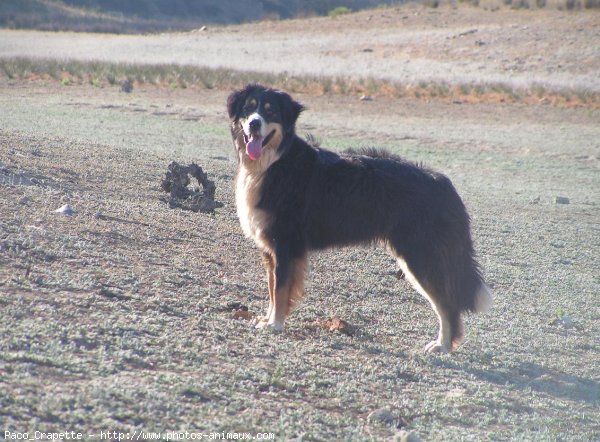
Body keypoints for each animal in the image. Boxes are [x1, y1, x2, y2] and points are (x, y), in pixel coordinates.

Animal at [227, 83, 490, 352]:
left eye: (270, 111)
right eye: (249, 107)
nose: (254, 124)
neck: (275, 161)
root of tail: (444, 184)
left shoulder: (286, 246)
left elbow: (280, 291)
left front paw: (275, 325)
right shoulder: (271, 249)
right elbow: (272, 289)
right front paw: (268, 319)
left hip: (421, 258)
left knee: (447, 305)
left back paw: (442, 345)